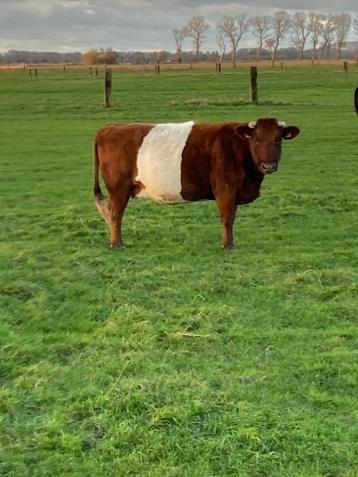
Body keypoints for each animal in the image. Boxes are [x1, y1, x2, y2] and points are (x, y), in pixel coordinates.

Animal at [93, 118, 300, 249]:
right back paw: (117, 244)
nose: (268, 165)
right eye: (256, 140)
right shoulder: (226, 190)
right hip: (118, 188)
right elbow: (227, 219)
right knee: (115, 214)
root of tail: (109, 127)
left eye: (278, 140)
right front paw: (228, 246)